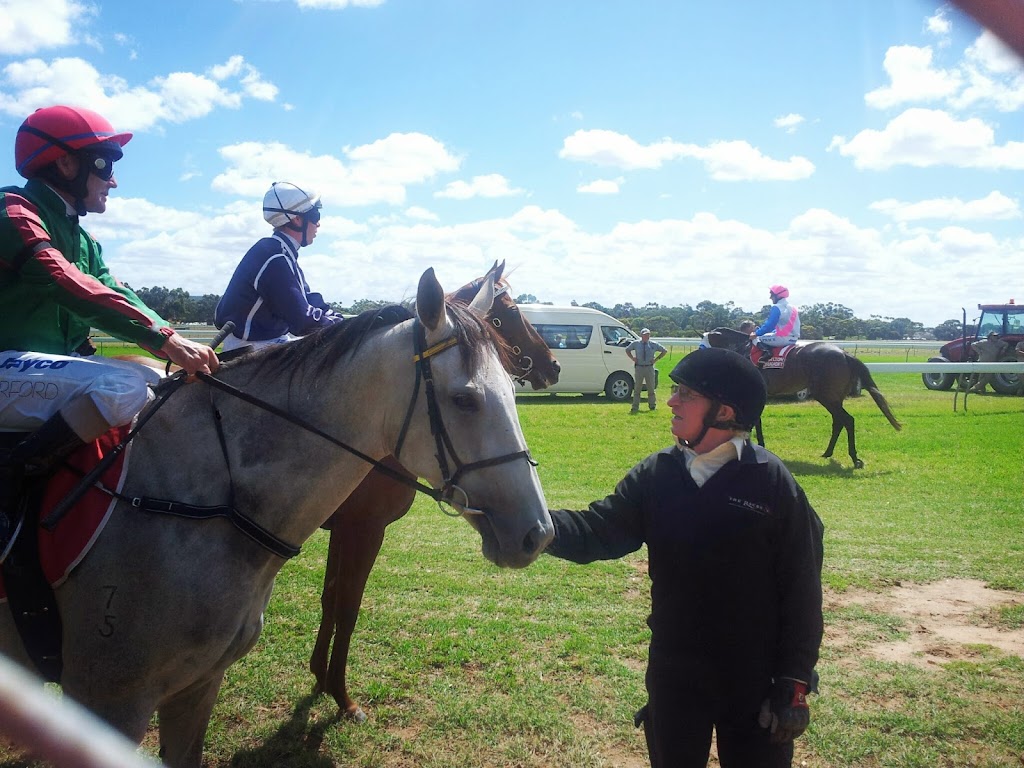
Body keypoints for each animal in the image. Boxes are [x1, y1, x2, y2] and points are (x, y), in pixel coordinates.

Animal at [307, 264, 561, 720]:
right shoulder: (363, 529)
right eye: (512, 311)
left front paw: (320, 675)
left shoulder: (345, 530)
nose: (554, 364)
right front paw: (342, 694)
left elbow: (331, 597)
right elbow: (347, 607)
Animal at [708, 325, 901, 468]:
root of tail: (844, 354)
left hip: (826, 396)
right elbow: (757, 423)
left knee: (847, 420)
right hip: (834, 398)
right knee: (839, 421)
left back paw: (854, 458)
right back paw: (828, 453)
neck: (741, 350)